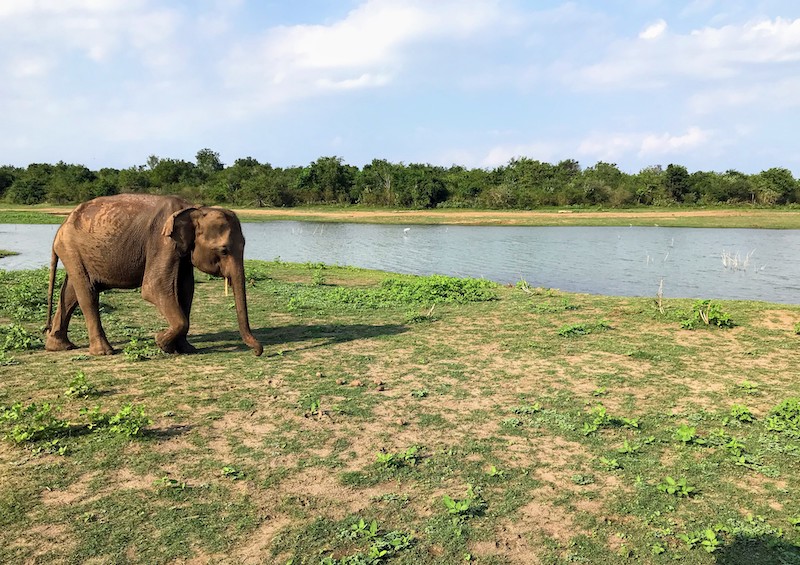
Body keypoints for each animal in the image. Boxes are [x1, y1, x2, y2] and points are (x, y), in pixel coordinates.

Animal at [44, 194, 263, 356]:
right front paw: (161, 342)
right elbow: (154, 287)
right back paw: (104, 352)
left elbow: (186, 290)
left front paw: (186, 349)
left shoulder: (181, 250)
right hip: (72, 250)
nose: (257, 352)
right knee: (87, 293)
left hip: (75, 253)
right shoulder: (161, 241)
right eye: (224, 250)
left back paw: (59, 346)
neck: (194, 209)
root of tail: (60, 227)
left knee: (71, 292)